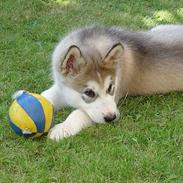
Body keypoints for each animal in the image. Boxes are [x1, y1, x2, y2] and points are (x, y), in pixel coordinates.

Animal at [41, 24, 183, 141]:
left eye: (110, 88)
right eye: (89, 93)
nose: (111, 118)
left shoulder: (115, 96)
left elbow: (80, 113)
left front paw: (63, 128)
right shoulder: (61, 86)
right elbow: (46, 96)